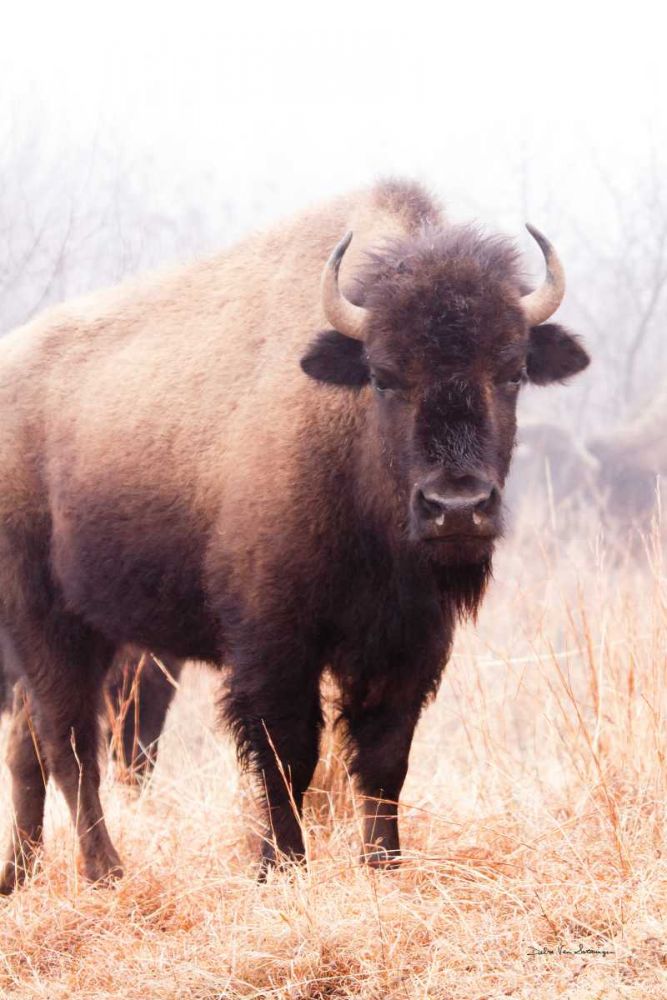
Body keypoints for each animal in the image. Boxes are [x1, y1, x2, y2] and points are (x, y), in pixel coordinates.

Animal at [0, 180, 589, 893]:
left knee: (31, 748)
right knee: (69, 744)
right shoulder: (274, 642)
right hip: (45, 621)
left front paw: (383, 865)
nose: (456, 507)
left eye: (511, 373)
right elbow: (287, 755)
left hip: (95, 630)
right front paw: (280, 865)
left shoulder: (408, 643)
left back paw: (19, 876)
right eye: (384, 375)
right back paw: (104, 871)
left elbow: (384, 758)